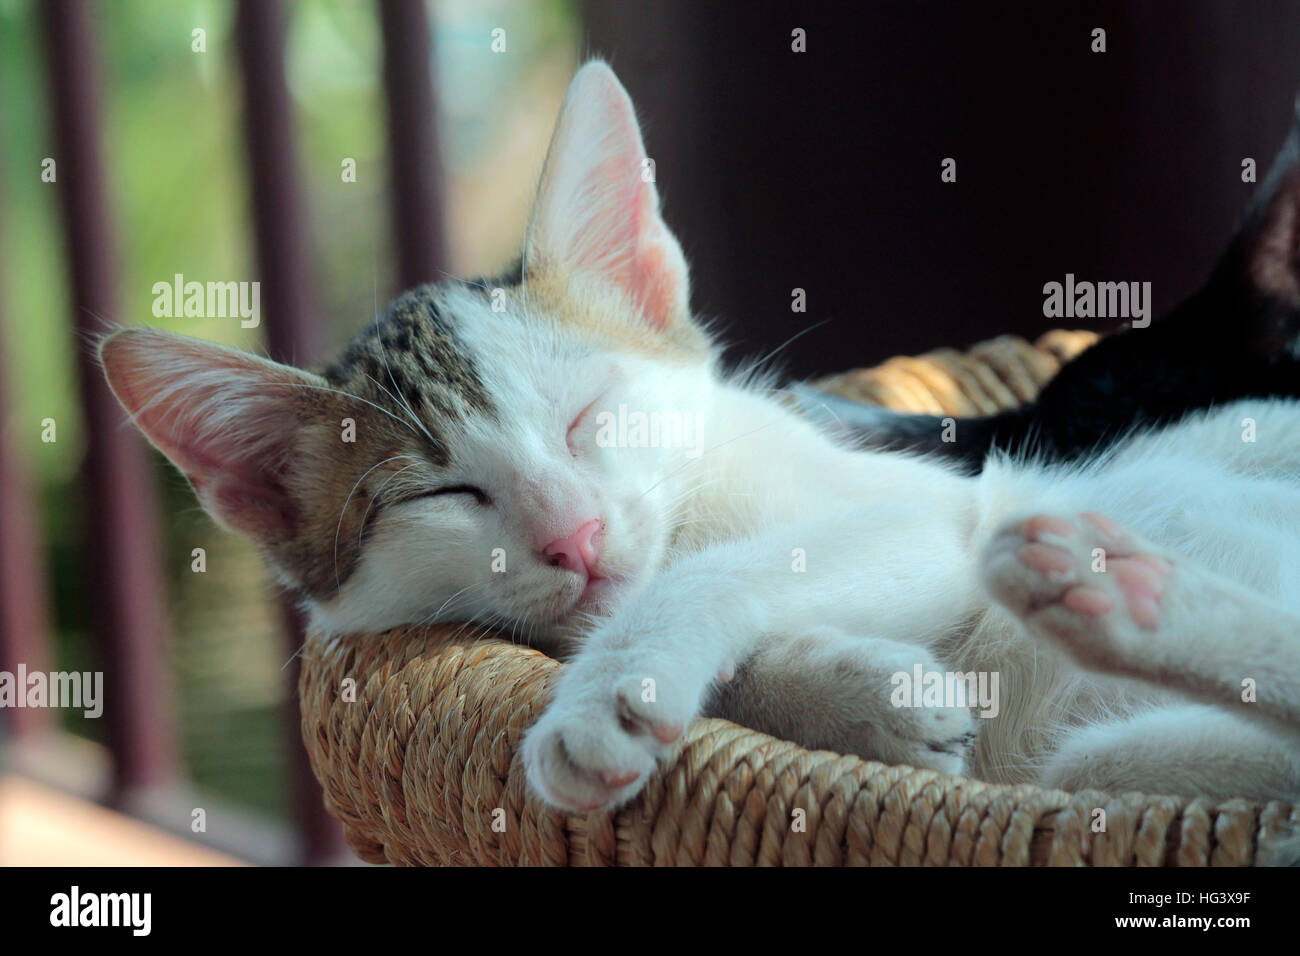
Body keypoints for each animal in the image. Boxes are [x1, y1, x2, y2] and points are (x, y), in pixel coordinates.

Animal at [98, 63, 1300, 816]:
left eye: (587, 415)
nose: (574, 538)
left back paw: (1119, 595)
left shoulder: (941, 511)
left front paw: (610, 695)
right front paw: (855, 695)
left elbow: (730, 572)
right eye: (441, 496)